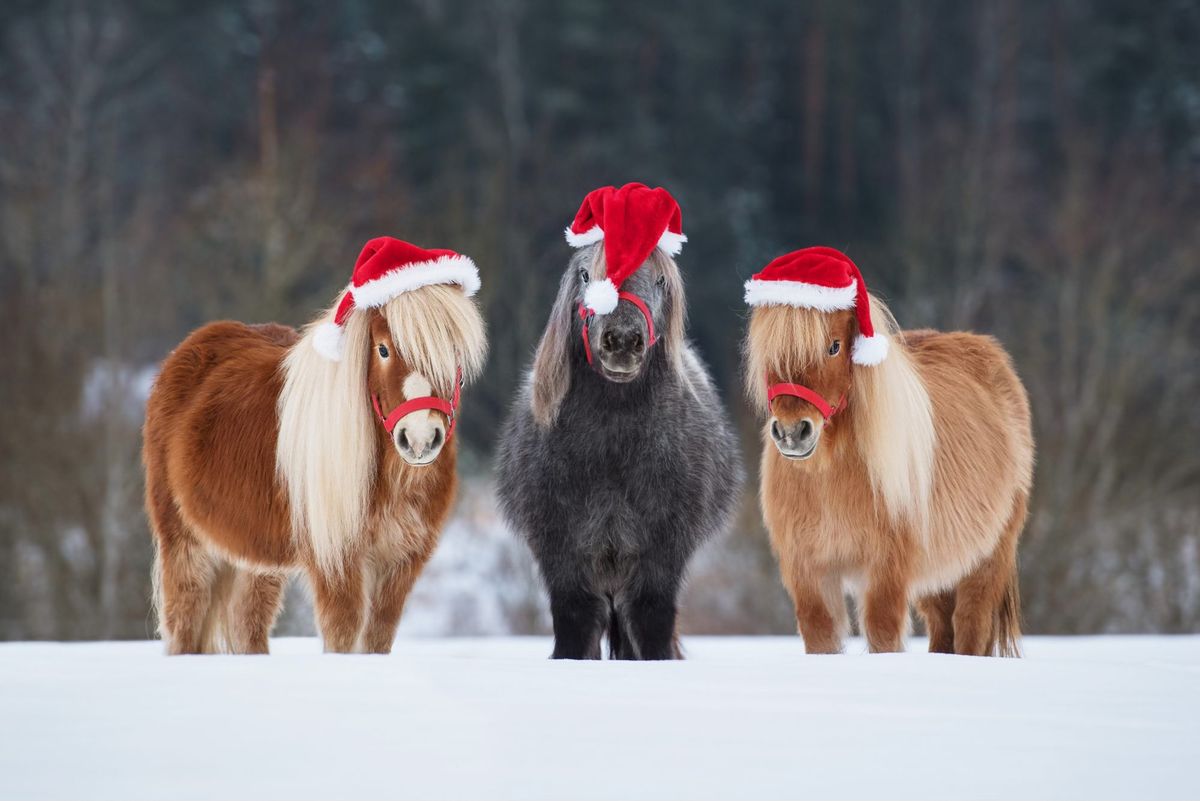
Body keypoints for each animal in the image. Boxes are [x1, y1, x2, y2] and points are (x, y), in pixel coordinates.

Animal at [145, 236, 487, 652]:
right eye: (383, 349)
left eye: (452, 350)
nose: (420, 439)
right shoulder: (335, 559)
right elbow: (343, 632)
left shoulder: (401, 562)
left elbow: (377, 636)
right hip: (185, 544)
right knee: (185, 626)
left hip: (255, 561)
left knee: (247, 623)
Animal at [496, 184, 739, 661]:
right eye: (586, 275)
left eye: (660, 280)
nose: (623, 340)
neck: (611, 447)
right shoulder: (562, 556)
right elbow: (574, 626)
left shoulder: (661, 556)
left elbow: (652, 623)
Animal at [739, 250, 1032, 657]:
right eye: (769, 350)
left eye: (834, 346)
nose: (792, 433)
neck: (829, 479)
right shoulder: (809, 573)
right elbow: (821, 637)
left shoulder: (885, 571)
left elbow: (882, 635)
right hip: (937, 578)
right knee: (944, 629)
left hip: (987, 560)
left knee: (971, 627)